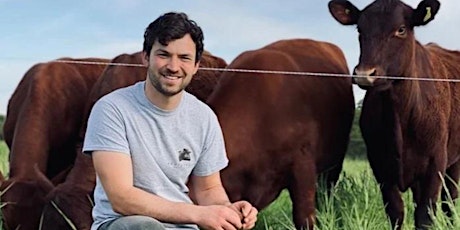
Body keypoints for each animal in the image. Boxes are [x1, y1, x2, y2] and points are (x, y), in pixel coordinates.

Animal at [328, 0, 460, 229]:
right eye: (359, 29)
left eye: (401, 29)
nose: (365, 74)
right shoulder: (381, 166)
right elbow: (396, 212)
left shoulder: (435, 164)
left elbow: (426, 216)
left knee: (449, 200)